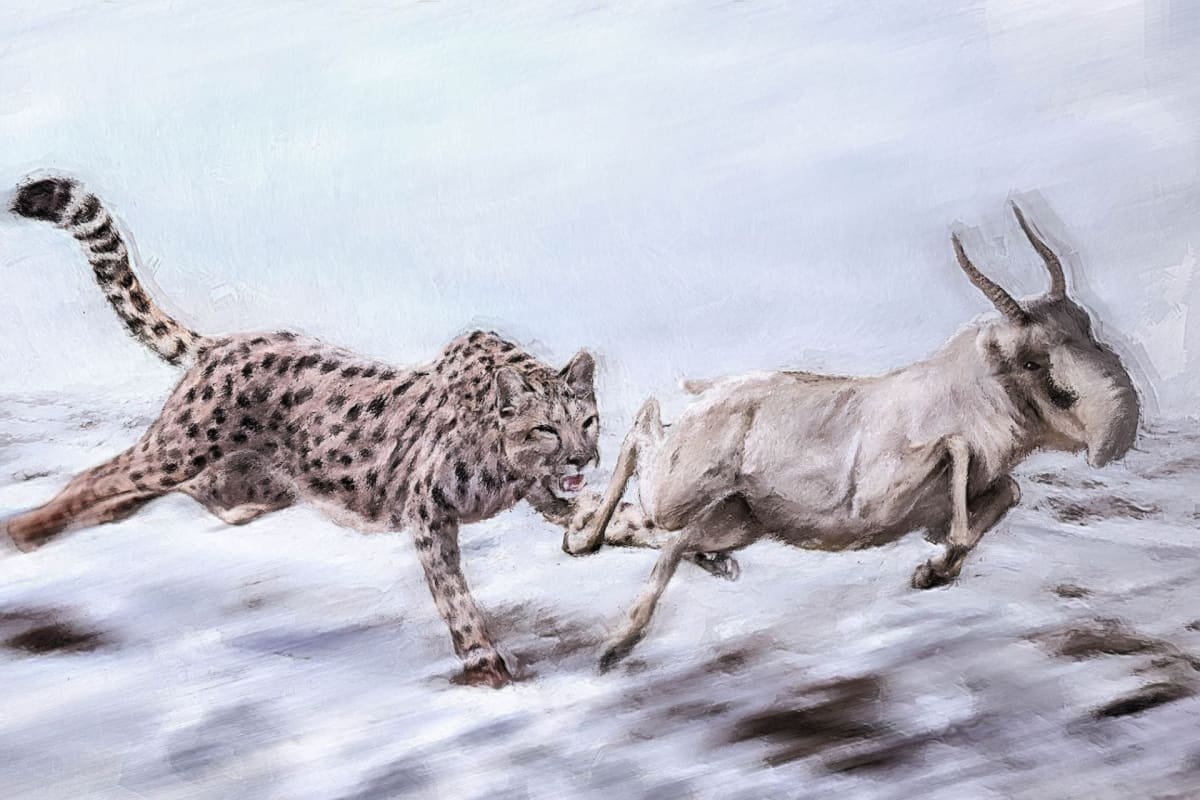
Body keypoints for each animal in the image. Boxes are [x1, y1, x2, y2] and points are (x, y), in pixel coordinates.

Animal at [1, 175, 705, 688]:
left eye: (585, 420)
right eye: (545, 429)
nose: (583, 456)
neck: (505, 464)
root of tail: (226, 343)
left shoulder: (550, 499)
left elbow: (622, 518)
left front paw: (693, 546)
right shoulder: (429, 512)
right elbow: (455, 594)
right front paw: (487, 666)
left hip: (240, 489)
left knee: (129, 496)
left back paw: (35, 535)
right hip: (181, 450)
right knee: (103, 475)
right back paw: (26, 530)